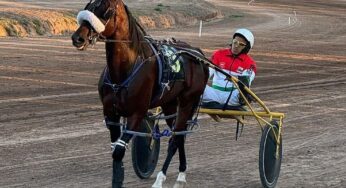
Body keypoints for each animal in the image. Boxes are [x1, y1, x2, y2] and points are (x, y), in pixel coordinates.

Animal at [70, 0, 208, 187]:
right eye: (88, 6)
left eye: (107, 11)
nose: (78, 38)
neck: (124, 70)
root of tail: (198, 54)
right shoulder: (110, 114)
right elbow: (115, 151)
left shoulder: (136, 114)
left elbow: (119, 151)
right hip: (170, 103)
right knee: (178, 136)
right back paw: (181, 174)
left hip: (188, 101)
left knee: (175, 139)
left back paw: (162, 178)